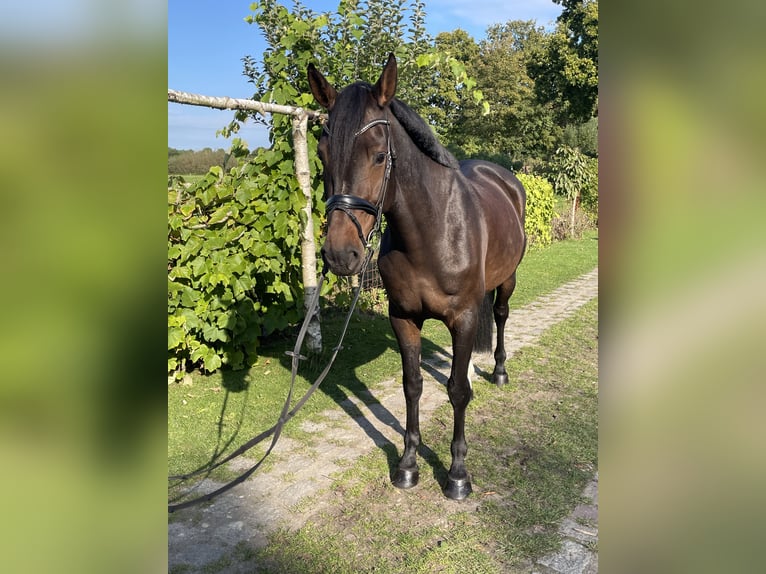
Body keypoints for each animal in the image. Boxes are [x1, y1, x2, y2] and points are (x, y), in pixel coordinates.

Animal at [308, 53, 526, 500]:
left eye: (379, 155)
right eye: (322, 154)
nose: (340, 255)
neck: (432, 232)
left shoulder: (464, 318)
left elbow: (457, 390)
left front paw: (458, 474)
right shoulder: (403, 318)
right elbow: (413, 385)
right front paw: (408, 464)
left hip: (507, 280)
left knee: (500, 316)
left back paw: (498, 371)